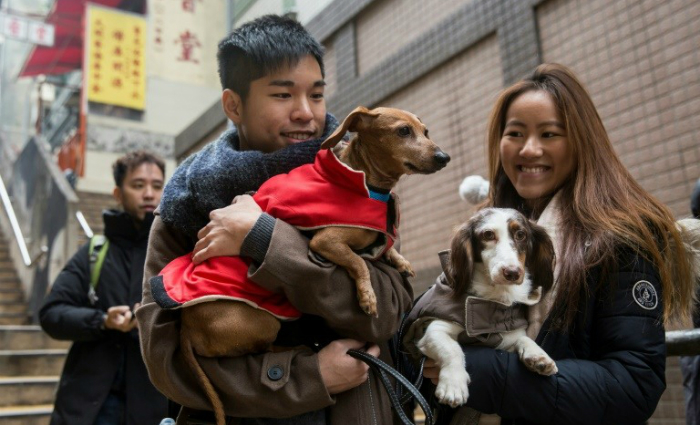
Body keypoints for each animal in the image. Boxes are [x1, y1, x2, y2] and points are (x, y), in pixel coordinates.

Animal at [404, 207, 556, 406]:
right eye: (488, 234)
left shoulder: (507, 337)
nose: (512, 273)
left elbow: (523, 339)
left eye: (521, 234)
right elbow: (453, 349)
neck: (492, 300)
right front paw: (454, 384)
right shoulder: (434, 330)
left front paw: (538, 355)